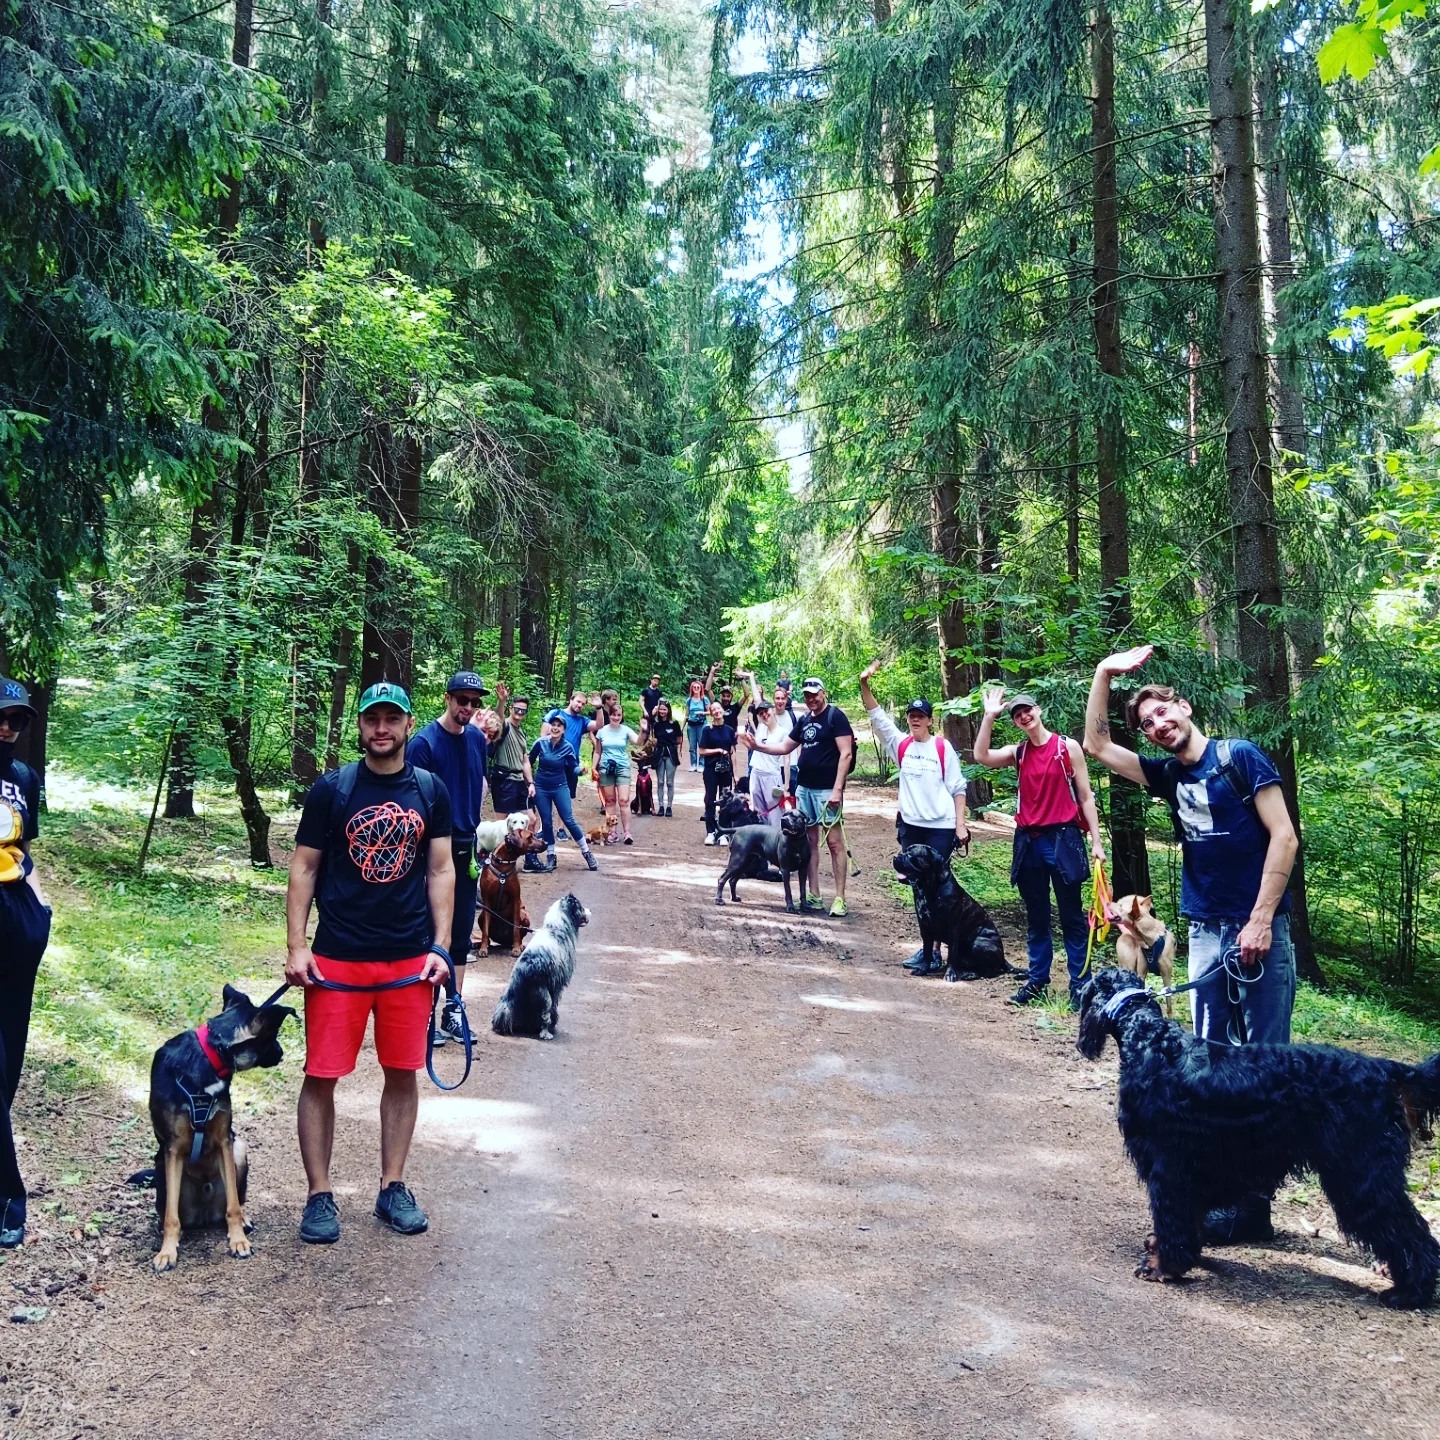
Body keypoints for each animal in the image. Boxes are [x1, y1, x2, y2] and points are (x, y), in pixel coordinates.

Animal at [146, 984, 294, 1273]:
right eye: (272, 1037)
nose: (282, 1053)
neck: (209, 1058)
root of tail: (204, 1213)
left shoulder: (225, 1140)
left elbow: (234, 1206)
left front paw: (238, 1240)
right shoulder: (172, 1149)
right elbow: (171, 1217)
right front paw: (167, 1251)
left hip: (240, 1149)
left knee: (236, 1199)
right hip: (160, 1168)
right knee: (170, 1212)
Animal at [491, 892, 590, 1039]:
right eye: (581, 907)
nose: (590, 910)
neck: (556, 927)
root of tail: (523, 970)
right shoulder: (556, 986)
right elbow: (553, 1008)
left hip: (512, 996)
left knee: (504, 1009)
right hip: (543, 995)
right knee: (545, 1014)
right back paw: (546, 1033)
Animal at [891, 845, 1012, 982]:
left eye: (911, 854)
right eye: (904, 851)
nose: (895, 856)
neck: (929, 889)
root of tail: (1003, 959)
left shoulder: (953, 930)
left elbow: (950, 957)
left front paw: (949, 974)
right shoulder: (925, 929)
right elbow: (927, 953)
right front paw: (923, 970)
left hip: (979, 944)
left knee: (992, 971)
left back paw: (970, 974)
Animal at [1076, 967, 1440, 1307]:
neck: (1152, 1041)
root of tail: (1387, 1070)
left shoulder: (1169, 1167)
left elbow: (1171, 1219)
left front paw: (1162, 1265)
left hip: (1360, 1173)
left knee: (1410, 1232)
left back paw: (1410, 1292)